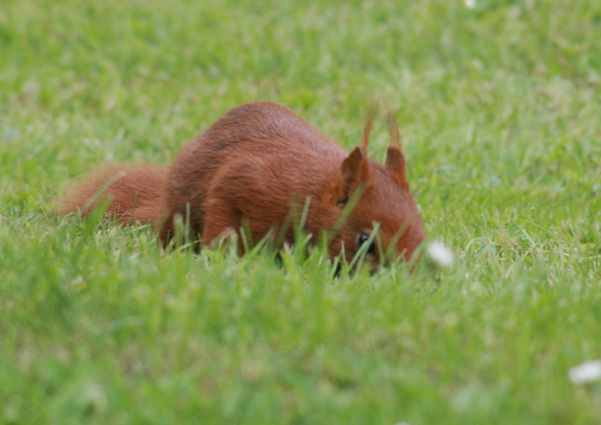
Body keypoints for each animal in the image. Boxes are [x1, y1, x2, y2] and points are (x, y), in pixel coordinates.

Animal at [61, 101, 424, 264]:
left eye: (422, 236)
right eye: (365, 241)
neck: (310, 192)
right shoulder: (244, 183)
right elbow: (222, 221)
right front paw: (222, 258)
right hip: (179, 207)